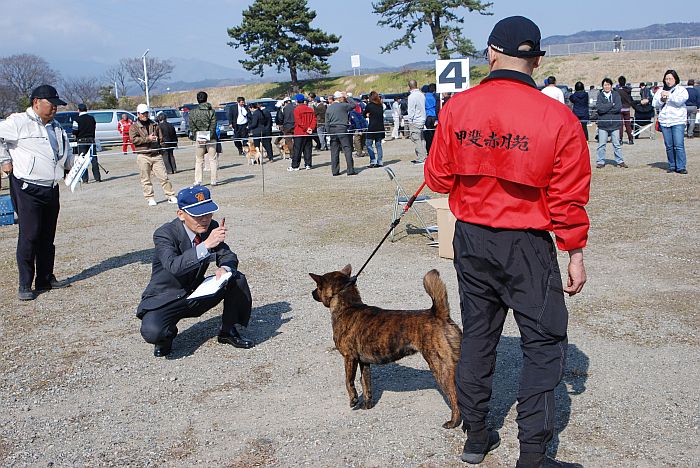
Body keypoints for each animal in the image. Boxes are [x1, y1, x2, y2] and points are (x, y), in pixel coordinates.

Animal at [308, 264, 462, 428]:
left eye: (318, 286)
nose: (312, 293)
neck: (348, 306)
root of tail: (439, 314)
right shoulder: (364, 363)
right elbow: (366, 383)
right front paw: (367, 405)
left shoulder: (350, 358)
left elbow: (348, 381)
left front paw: (353, 399)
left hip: (440, 366)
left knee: (454, 396)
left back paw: (453, 422)